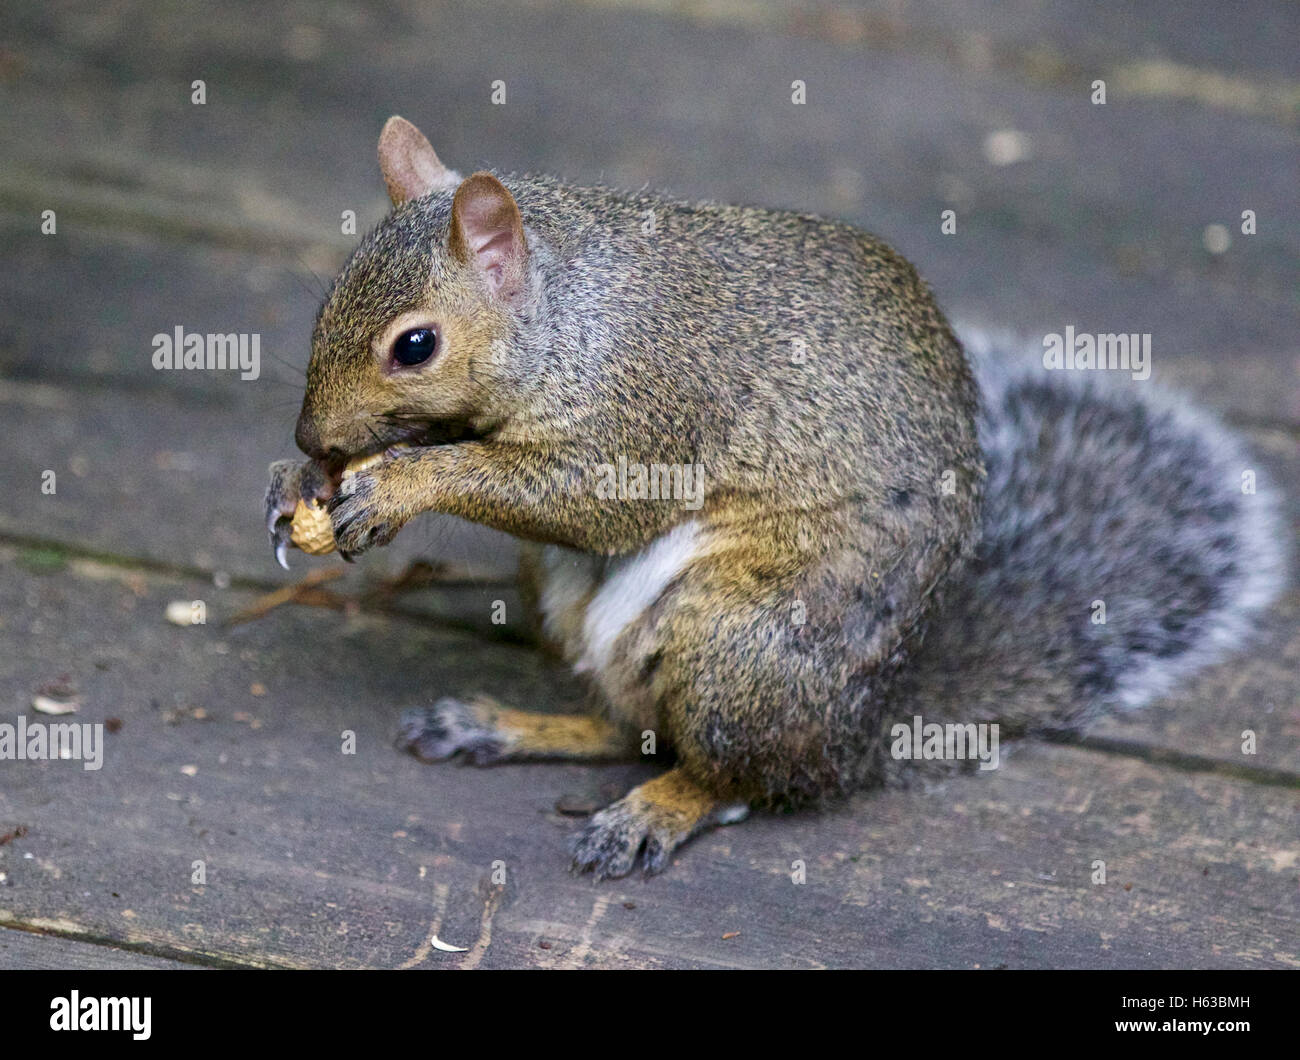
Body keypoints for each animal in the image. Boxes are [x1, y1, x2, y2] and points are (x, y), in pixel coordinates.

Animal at [266, 115, 1289, 879]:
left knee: (738, 778)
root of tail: (862, 733)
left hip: (740, 643)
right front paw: (301, 487)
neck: (571, 315)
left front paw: (402, 481)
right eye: (325, 305)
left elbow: (592, 499)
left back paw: (656, 811)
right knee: (629, 726)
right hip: (586, 610)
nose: (313, 438)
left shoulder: (651, 406)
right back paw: (501, 725)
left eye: (415, 345)